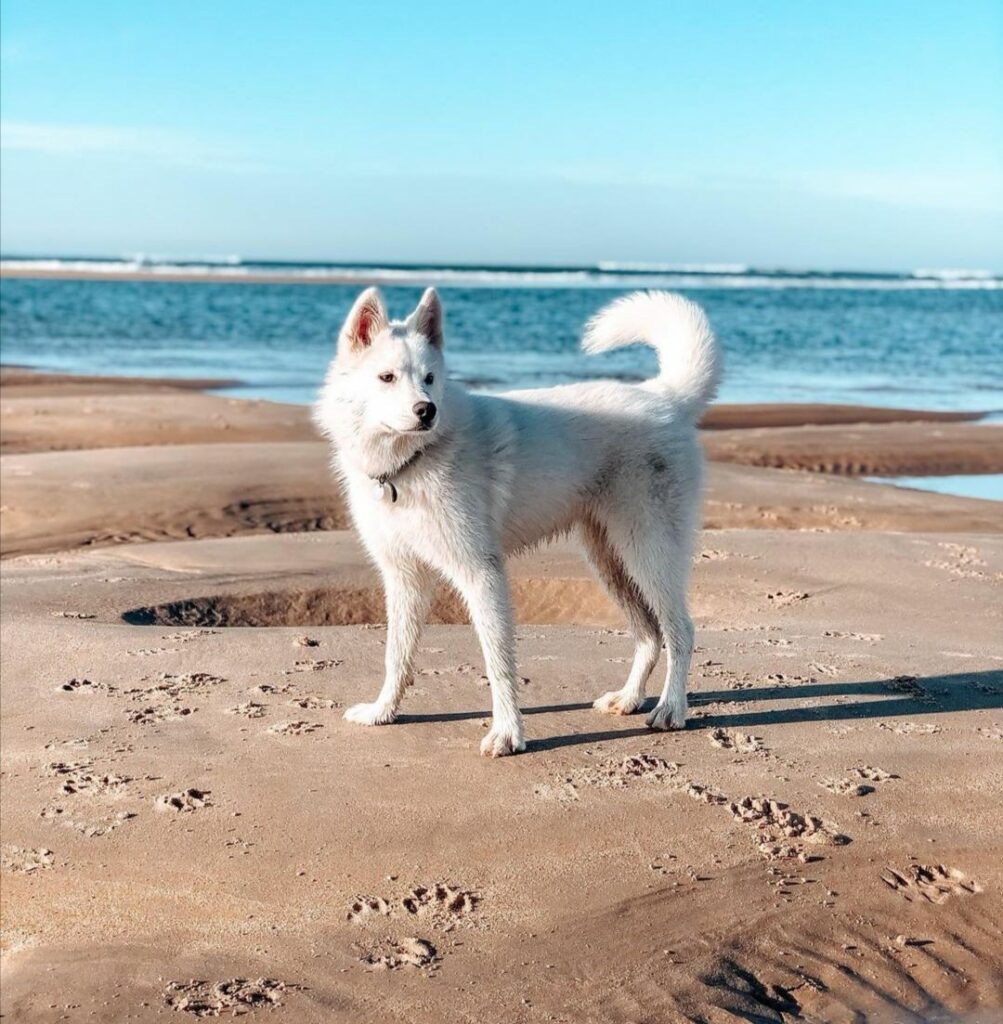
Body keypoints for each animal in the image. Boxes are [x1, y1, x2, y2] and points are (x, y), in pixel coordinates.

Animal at [315, 286, 721, 753]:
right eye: (386, 377)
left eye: (430, 378)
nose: (426, 411)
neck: (412, 462)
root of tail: (666, 398)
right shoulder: (405, 576)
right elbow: (396, 654)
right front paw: (383, 712)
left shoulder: (480, 572)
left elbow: (498, 663)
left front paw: (508, 733)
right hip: (610, 561)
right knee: (650, 635)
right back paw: (629, 699)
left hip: (648, 553)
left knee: (681, 631)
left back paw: (671, 709)